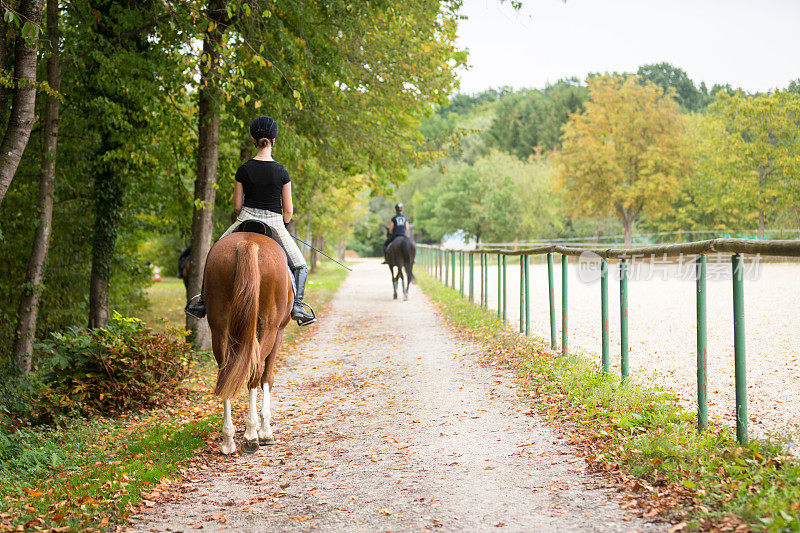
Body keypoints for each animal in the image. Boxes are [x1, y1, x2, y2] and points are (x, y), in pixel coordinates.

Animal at [203, 232, 294, 454]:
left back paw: (228, 441)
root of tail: (248, 243)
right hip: (270, 327)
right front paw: (265, 430)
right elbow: (267, 377)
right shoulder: (279, 332)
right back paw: (252, 435)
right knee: (256, 371)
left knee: (225, 372)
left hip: (219, 326)